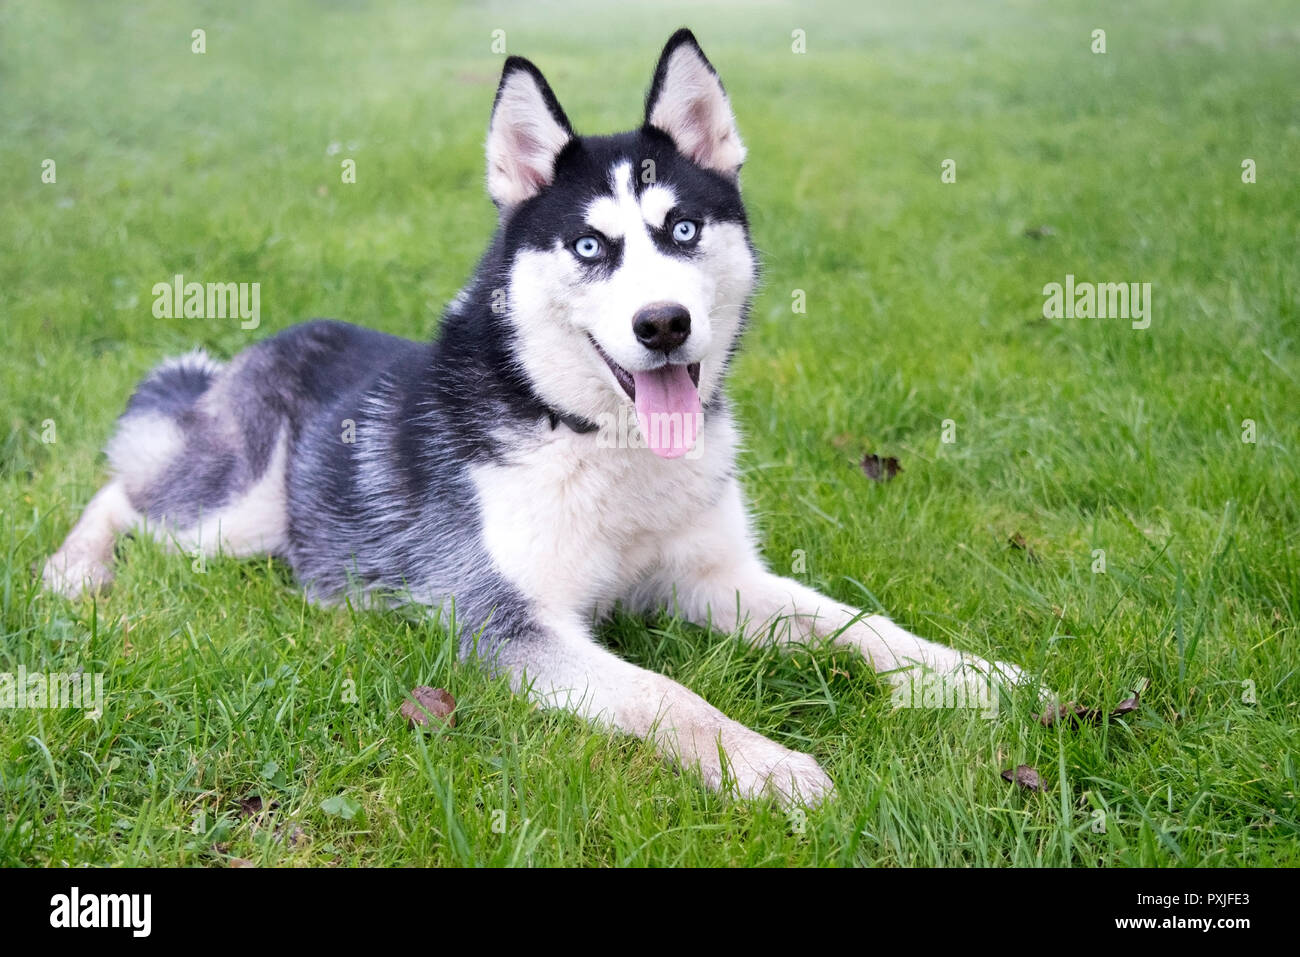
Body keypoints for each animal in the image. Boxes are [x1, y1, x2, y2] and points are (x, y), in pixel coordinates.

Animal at [45, 29, 1029, 806]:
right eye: (591, 245)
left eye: (681, 230)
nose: (663, 324)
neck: (604, 443)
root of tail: (272, 338)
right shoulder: (505, 623)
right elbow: (667, 694)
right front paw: (767, 765)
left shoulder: (715, 576)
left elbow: (856, 623)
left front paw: (966, 673)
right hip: (239, 515)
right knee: (127, 489)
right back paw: (74, 570)